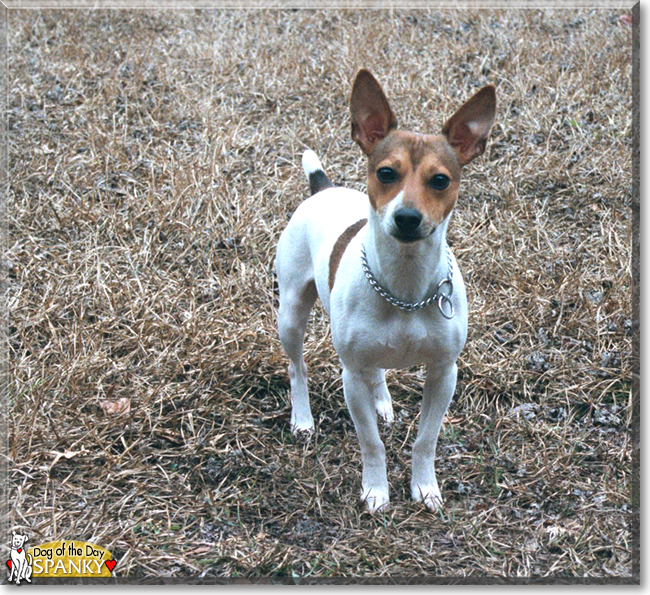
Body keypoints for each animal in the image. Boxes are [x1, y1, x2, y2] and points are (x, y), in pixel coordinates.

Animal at [274, 67, 492, 510]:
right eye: (386, 173)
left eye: (440, 180)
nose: (407, 217)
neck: (404, 289)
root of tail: (323, 187)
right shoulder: (351, 378)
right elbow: (370, 443)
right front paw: (376, 490)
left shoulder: (444, 373)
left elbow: (426, 440)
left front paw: (424, 487)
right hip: (290, 314)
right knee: (296, 368)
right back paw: (302, 418)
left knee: (376, 370)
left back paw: (383, 403)